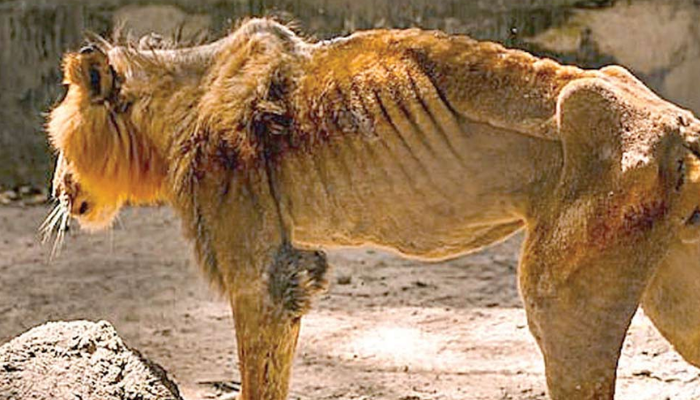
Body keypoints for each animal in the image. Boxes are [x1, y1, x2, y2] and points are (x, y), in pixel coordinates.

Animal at [44, 18, 700, 400]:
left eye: (57, 145)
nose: (56, 188)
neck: (182, 98)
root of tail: (680, 123)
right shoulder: (292, 268)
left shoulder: (263, 275)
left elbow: (260, 379)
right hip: (674, 294)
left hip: (556, 292)